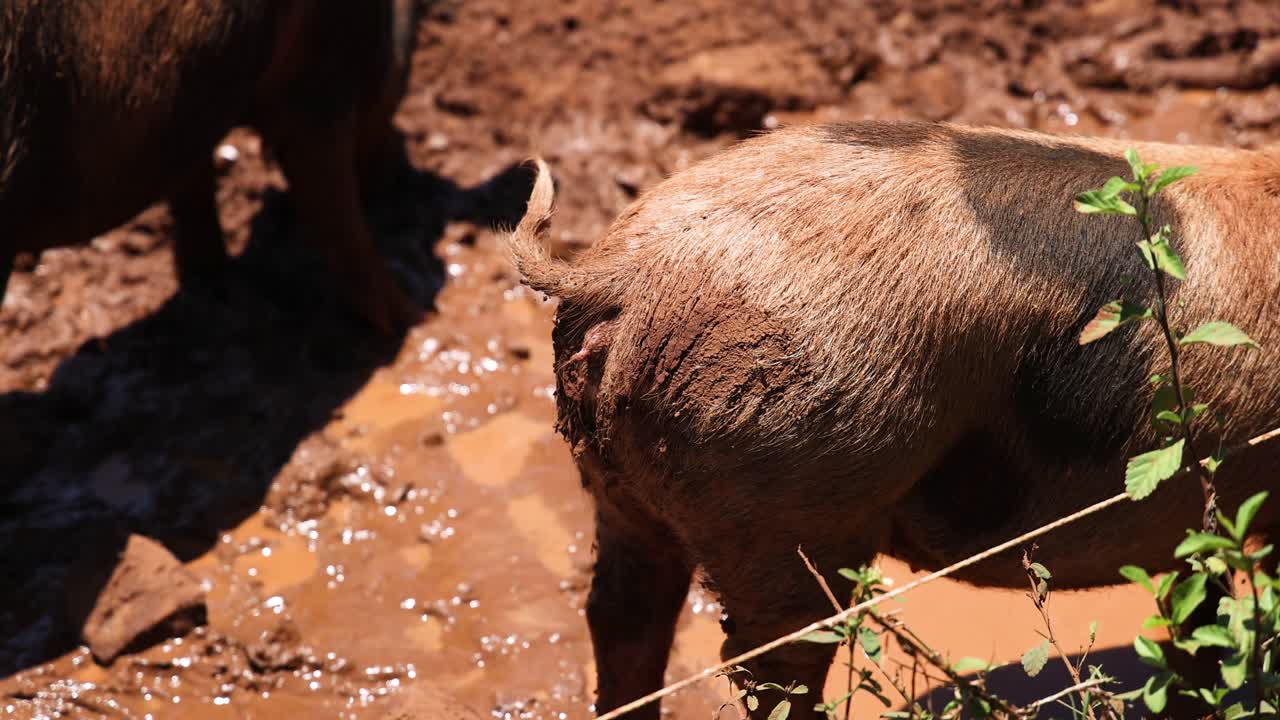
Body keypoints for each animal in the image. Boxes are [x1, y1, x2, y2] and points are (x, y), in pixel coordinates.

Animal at [0, 0, 424, 333]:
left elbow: (193, 188)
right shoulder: (319, 83)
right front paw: (410, 320)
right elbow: (338, 216)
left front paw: (207, 278)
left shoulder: (185, 119)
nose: (404, 176)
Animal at [505, 121, 1280, 718]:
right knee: (768, 663)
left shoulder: (1201, 517)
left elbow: (1199, 628)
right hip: (787, 485)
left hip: (618, 482)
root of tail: (624, 273)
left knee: (622, 617)